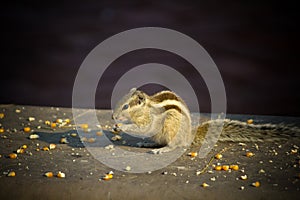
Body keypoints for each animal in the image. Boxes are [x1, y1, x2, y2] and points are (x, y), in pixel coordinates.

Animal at [112, 88, 300, 155]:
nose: (113, 117)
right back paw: (147, 144)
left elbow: (143, 128)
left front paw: (121, 126)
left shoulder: (151, 121)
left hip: (171, 127)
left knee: (174, 145)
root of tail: (188, 136)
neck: (145, 109)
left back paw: (162, 150)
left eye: (126, 106)